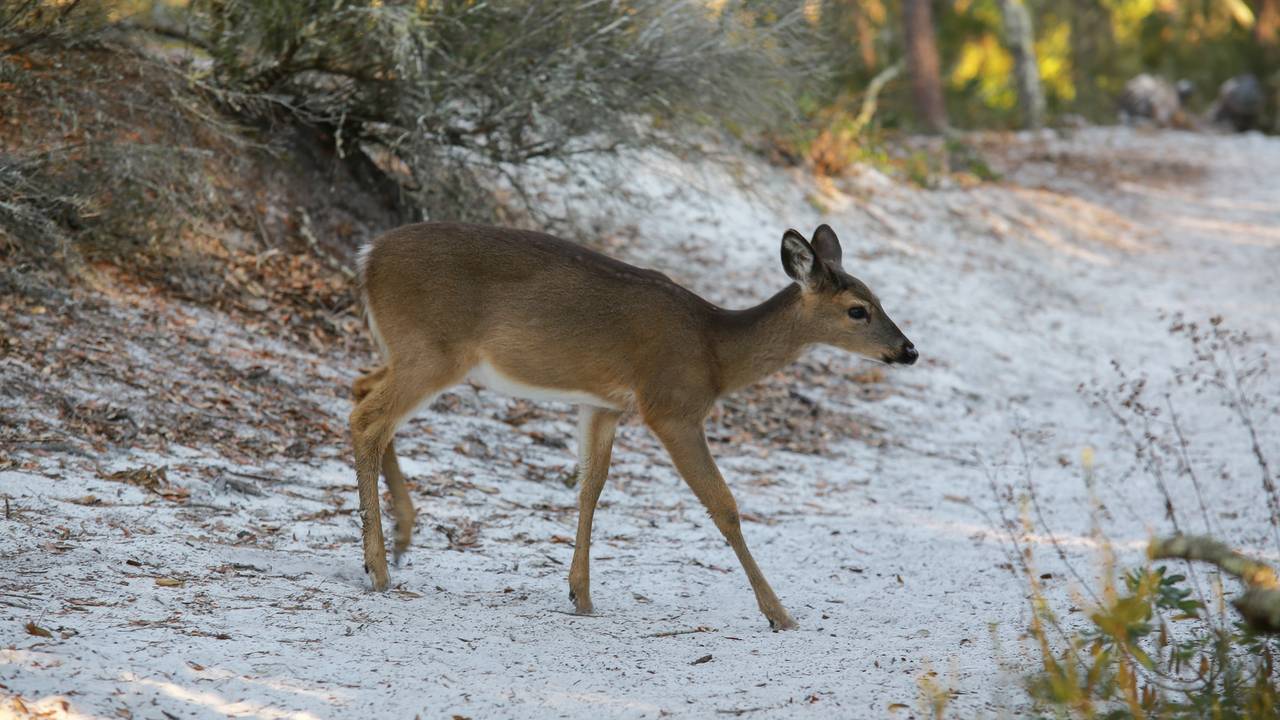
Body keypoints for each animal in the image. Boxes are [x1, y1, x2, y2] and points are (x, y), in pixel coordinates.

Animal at [349, 222, 917, 630]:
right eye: (858, 310)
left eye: (880, 300)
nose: (909, 350)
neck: (716, 353)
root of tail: (367, 255)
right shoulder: (671, 407)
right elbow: (725, 506)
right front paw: (780, 614)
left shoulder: (603, 404)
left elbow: (591, 487)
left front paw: (580, 594)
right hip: (433, 349)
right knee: (367, 419)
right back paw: (378, 567)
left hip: (406, 351)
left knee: (360, 390)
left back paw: (402, 537)